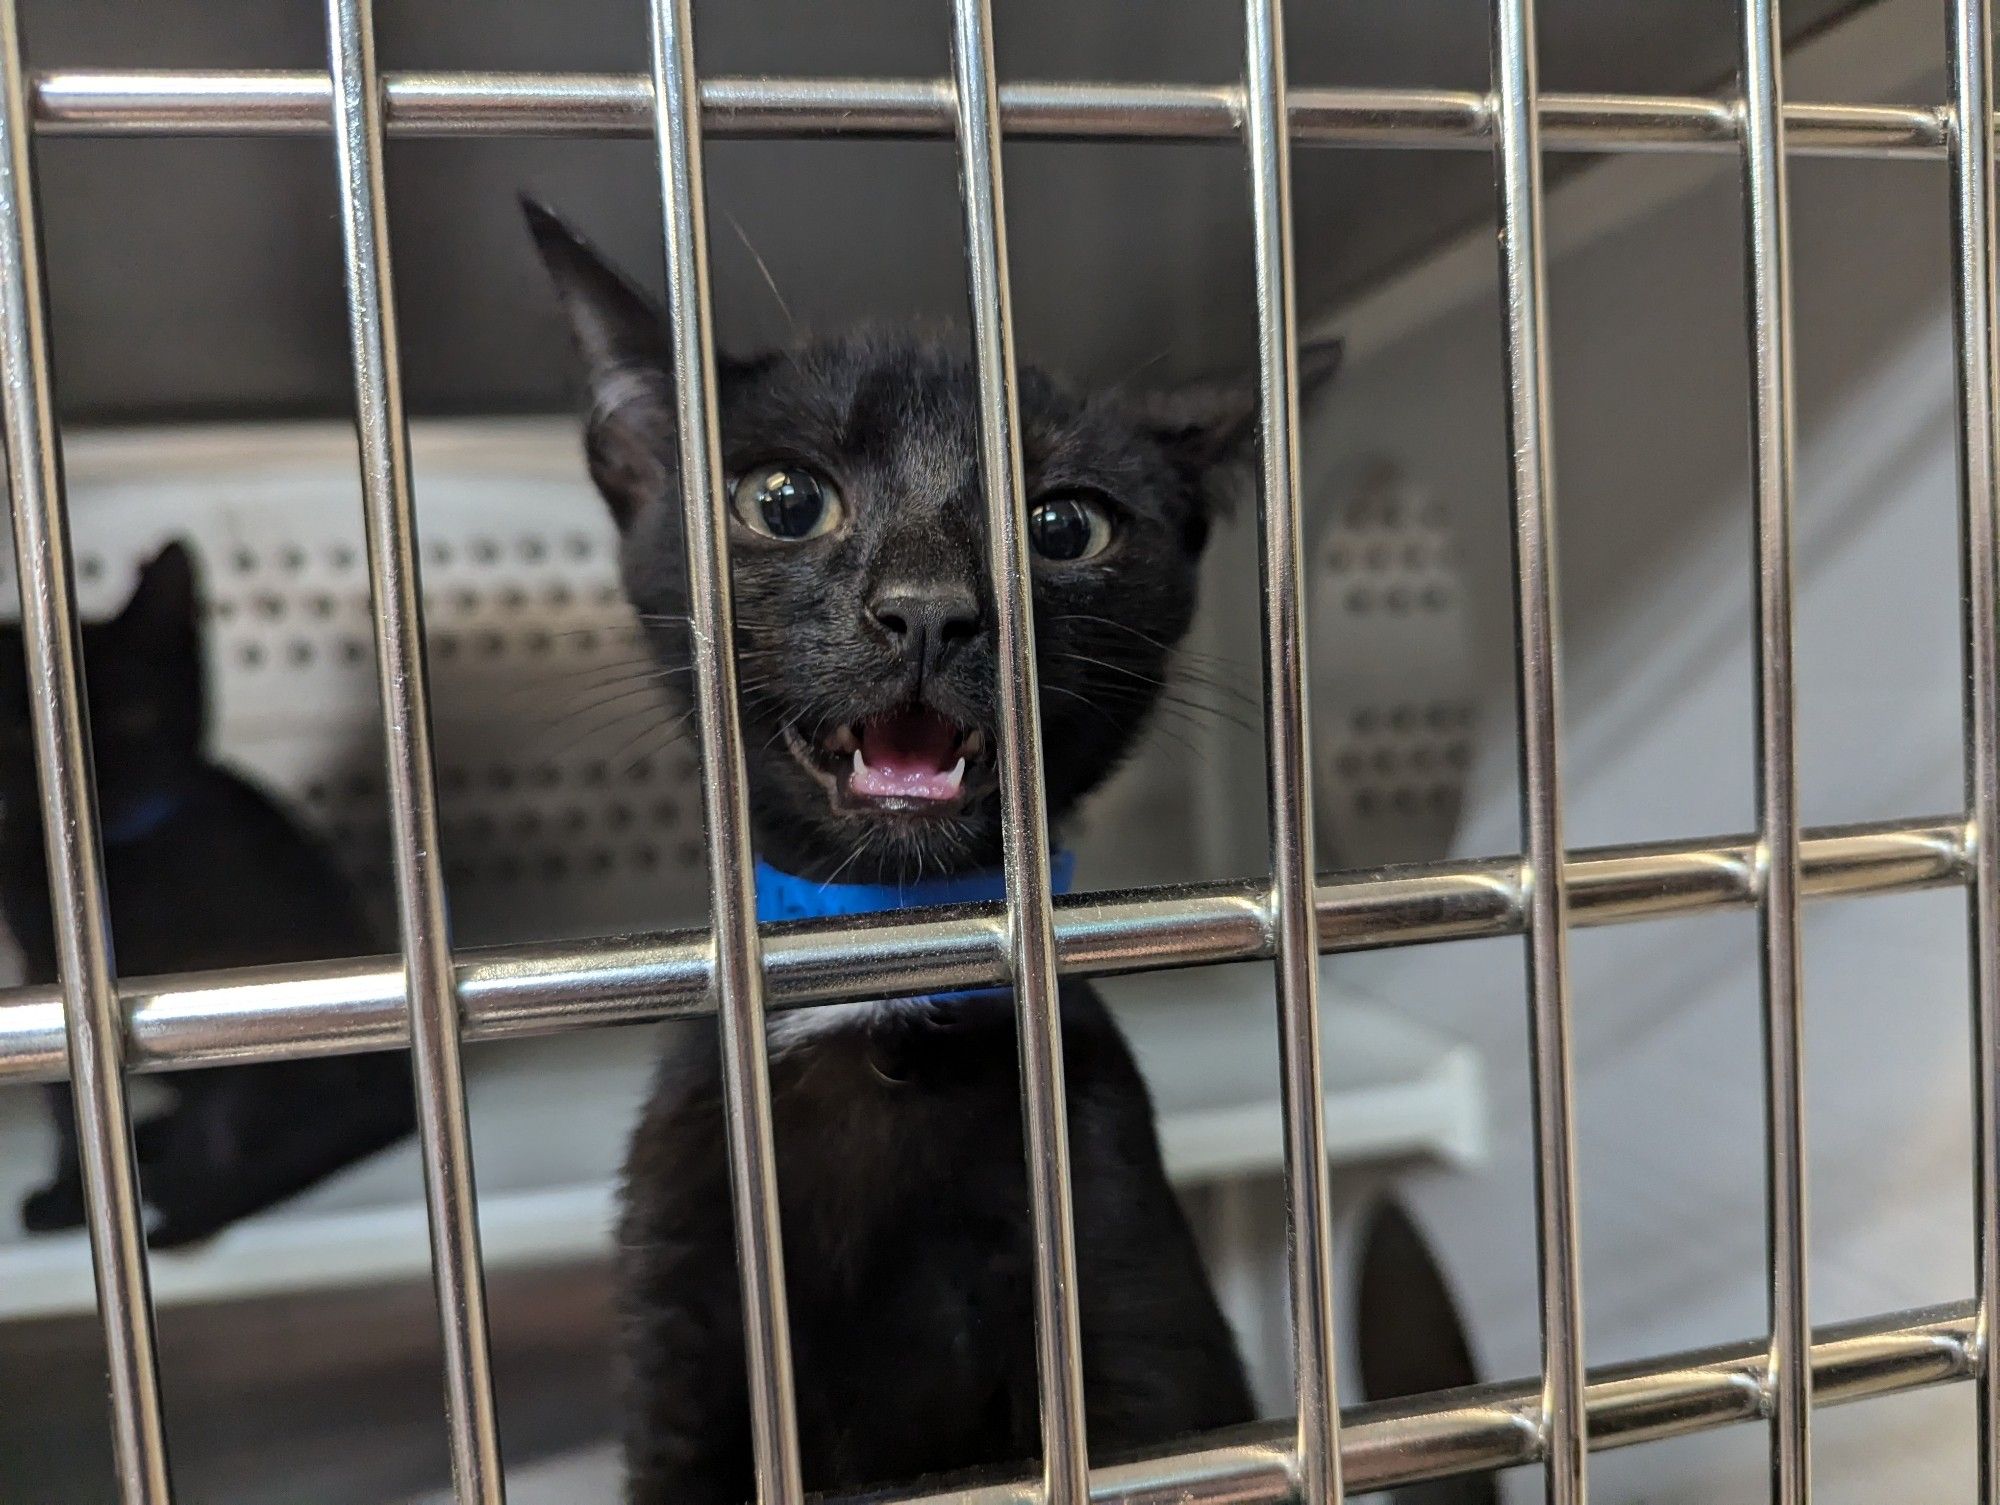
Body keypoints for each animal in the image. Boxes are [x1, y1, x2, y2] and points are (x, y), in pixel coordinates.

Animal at [0, 540, 414, 1248]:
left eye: (138, 717)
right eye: (26, 735)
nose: (94, 790)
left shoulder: (244, 979)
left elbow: (223, 1115)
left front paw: (191, 1194)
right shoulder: (44, 976)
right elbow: (66, 1097)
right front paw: (74, 1193)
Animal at [532, 203, 1344, 1505]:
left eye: (1061, 525)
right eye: (782, 499)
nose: (925, 606)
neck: (881, 970)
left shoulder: (1130, 1318)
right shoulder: (678, 1351)